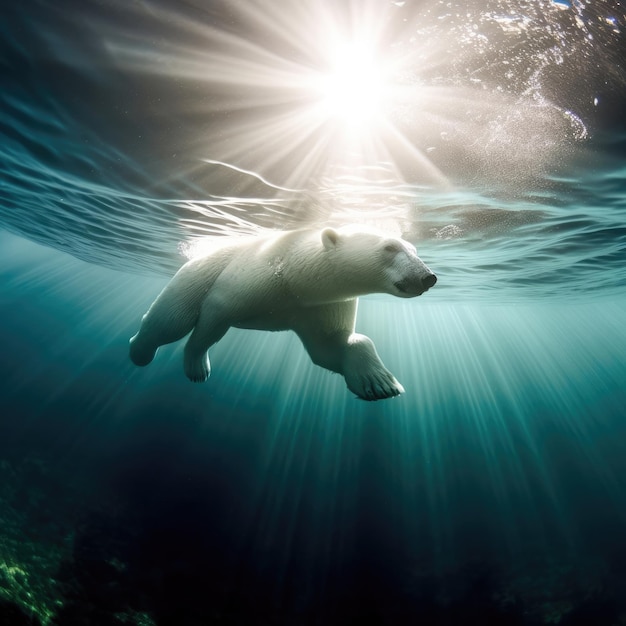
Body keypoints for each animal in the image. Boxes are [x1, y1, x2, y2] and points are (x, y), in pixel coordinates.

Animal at [129, 225, 436, 400]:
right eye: (389, 247)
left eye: (413, 248)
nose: (427, 277)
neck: (294, 276)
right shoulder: (254, 276)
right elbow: (216, 313)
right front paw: (196, 366)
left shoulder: (320, 303)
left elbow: (329, 346)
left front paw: (380, 383)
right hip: (194, 276)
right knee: (170, 319)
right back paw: (138, 351)